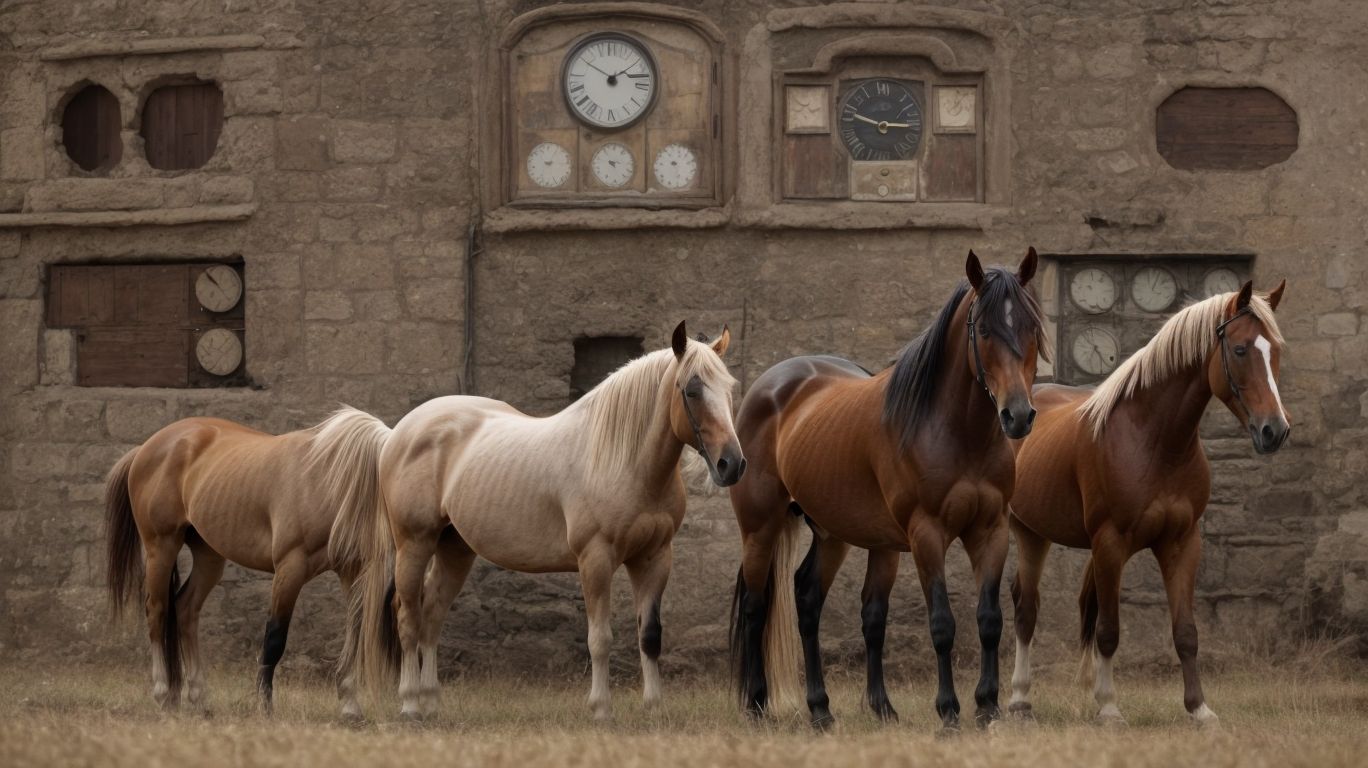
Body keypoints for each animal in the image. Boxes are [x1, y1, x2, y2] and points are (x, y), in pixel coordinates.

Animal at [104, 409, 391, 717]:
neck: (333, 479)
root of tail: (145, 448)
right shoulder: (290, 568)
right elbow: (275, 637)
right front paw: (264, 706)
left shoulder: (351, 570)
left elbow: (355, 629)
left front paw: (349, 704)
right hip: (161, 547)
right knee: (156, 612)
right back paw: (162, 694)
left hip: (208, 555)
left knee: (185, 609)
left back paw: (198, 697)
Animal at [331, 321, 744, 720]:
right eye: (692, 390)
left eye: (730, 388)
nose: (732, 464)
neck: (621, 460)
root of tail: (395, 435)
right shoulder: (595, 560)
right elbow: (600, 638)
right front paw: (601, 709)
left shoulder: (654, 557)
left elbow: (651, 635)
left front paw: (654, 708)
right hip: (413, 544)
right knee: (408, 618)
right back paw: (411, 705)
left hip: (455, 548)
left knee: (432, 614)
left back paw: (431, 703)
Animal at [729, 249, 1048, 733]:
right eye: (985, 330)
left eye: (1031, 327)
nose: (1018, 416)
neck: (956, 432)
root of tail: (769, 386)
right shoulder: (926, 535)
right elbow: (942, 624)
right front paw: (948, 711)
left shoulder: (990, 531)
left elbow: (988, 619)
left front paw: (987, 707)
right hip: (760, 528)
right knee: (755, 605)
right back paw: (756, 706)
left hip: (836, 534)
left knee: (811, 600)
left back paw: (828, 710)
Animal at [1007, 280, 1288, 726]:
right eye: (1241, 349)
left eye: (1275, 349)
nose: (1274, 431)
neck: (1153, 440)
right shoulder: (1110, 545)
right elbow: (1108, 631)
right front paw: (1108, 707)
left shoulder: (1182, 543)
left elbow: (1186, 633)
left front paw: (1199, 709)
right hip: (1026, 533)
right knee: (1025, 610)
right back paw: (1019, 700)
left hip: (1040, 534)